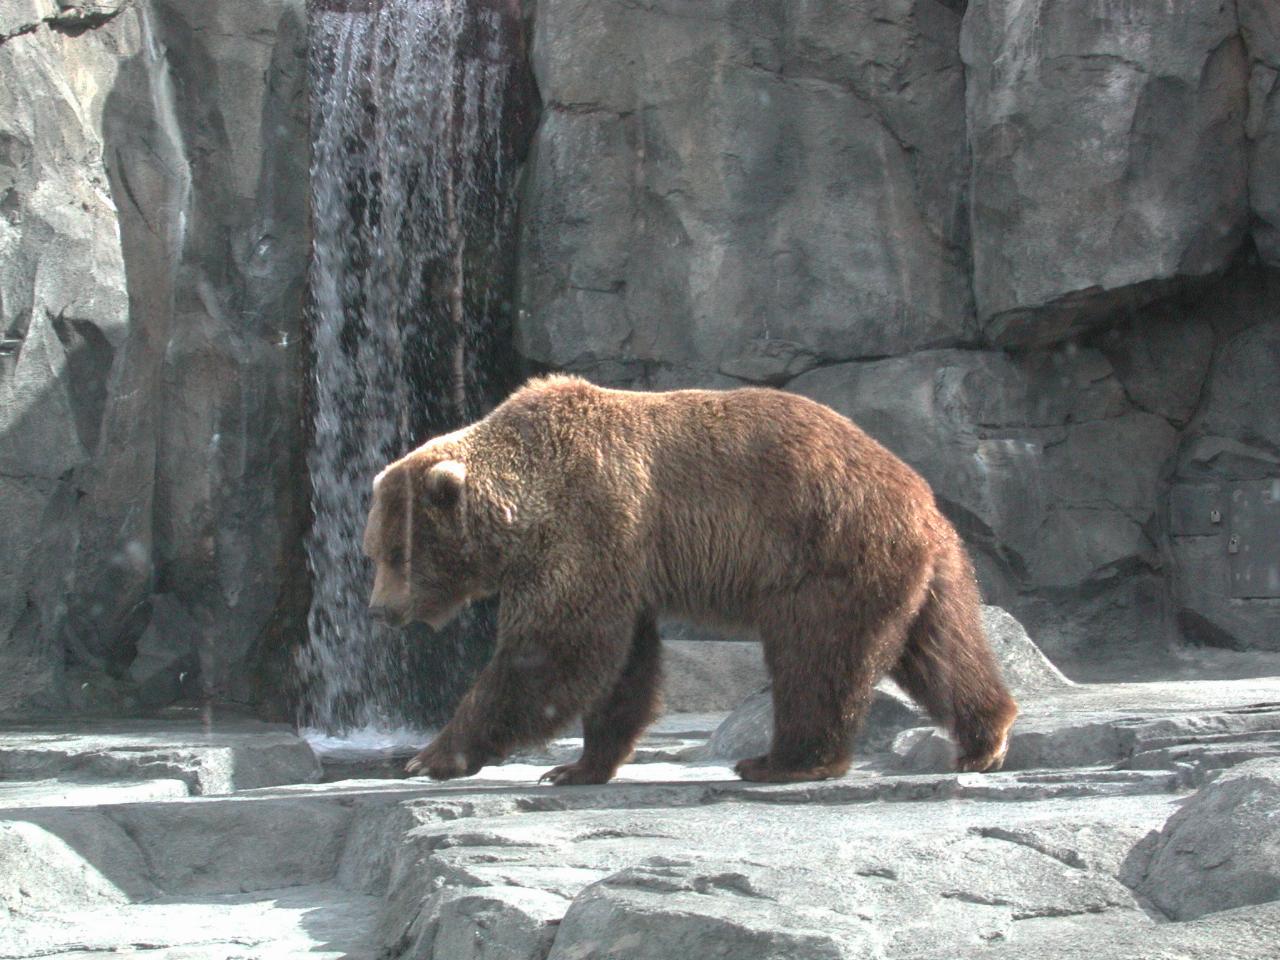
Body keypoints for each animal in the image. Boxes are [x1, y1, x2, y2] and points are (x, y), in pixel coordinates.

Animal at [366, 371, 1013, 783]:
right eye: (373, 550)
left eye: (396, 555)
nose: (379, 610)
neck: (525, 500)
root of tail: (919, 495)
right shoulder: (622, 565)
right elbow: (622, 667)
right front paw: (575, 767)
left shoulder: (587, 528)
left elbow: (552, 652)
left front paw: (433, 755)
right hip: (924, 568)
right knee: (944, 649)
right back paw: (985, 738)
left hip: (825, 551)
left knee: (817, 656)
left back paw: (783, 762)